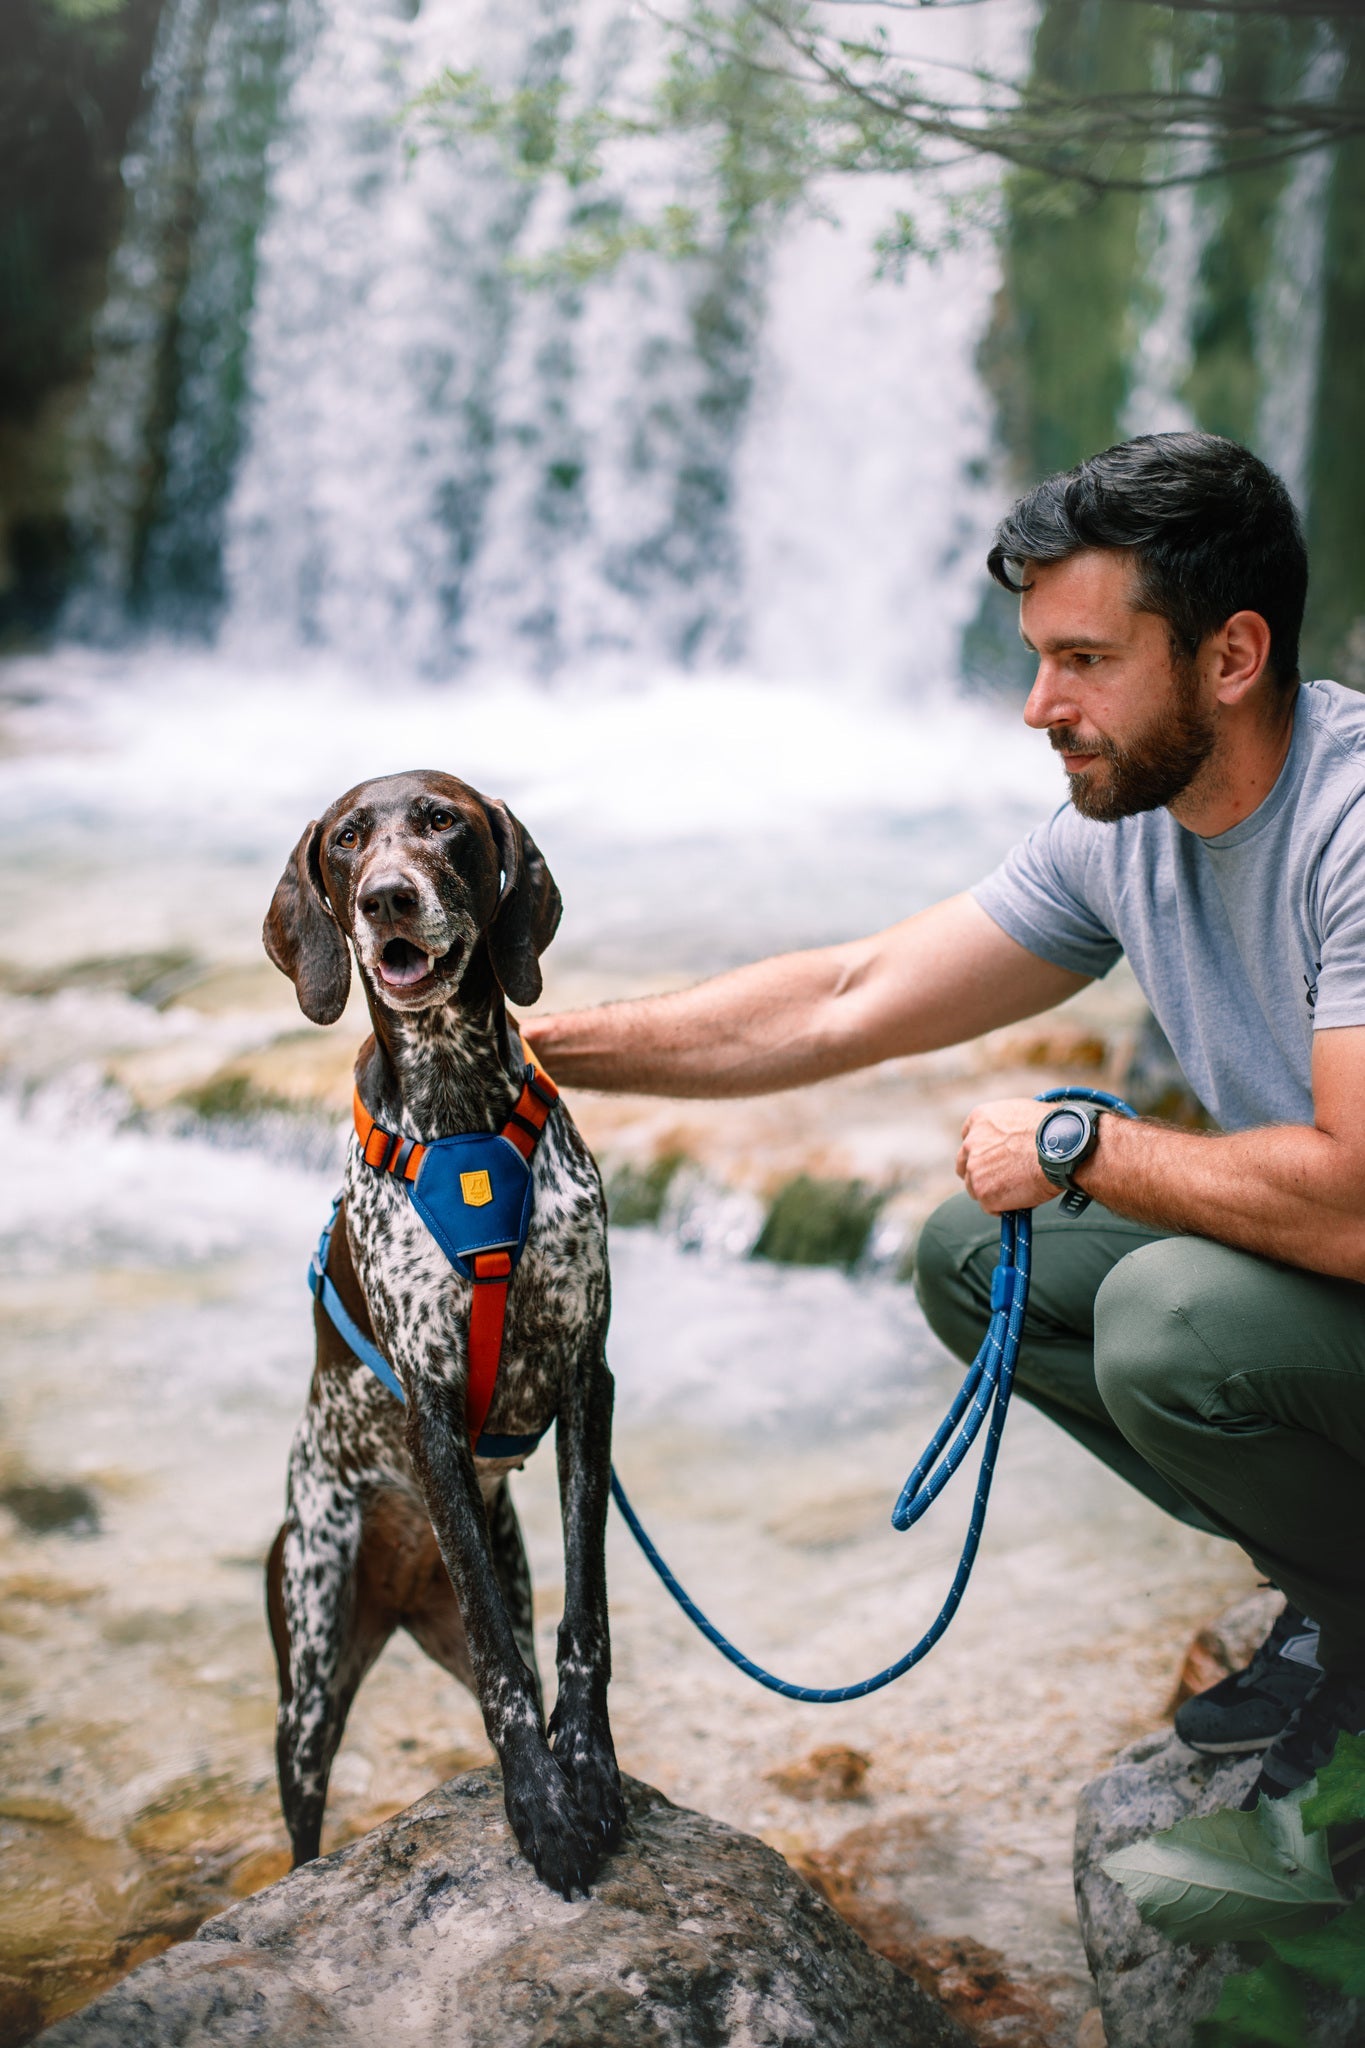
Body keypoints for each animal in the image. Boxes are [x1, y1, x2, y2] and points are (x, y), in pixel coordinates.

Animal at [258, 774, 626, 1892]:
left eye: (441, 820)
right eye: (345, 839)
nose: (386, 896)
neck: (459, 1113)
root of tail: (401, 1590)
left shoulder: (587, 1378)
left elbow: (583, 1620)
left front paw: (586, 1769)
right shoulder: (431, 1410)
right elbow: (507, 1665)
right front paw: (542, 1812)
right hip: (313, 1648)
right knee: (305, 1806)